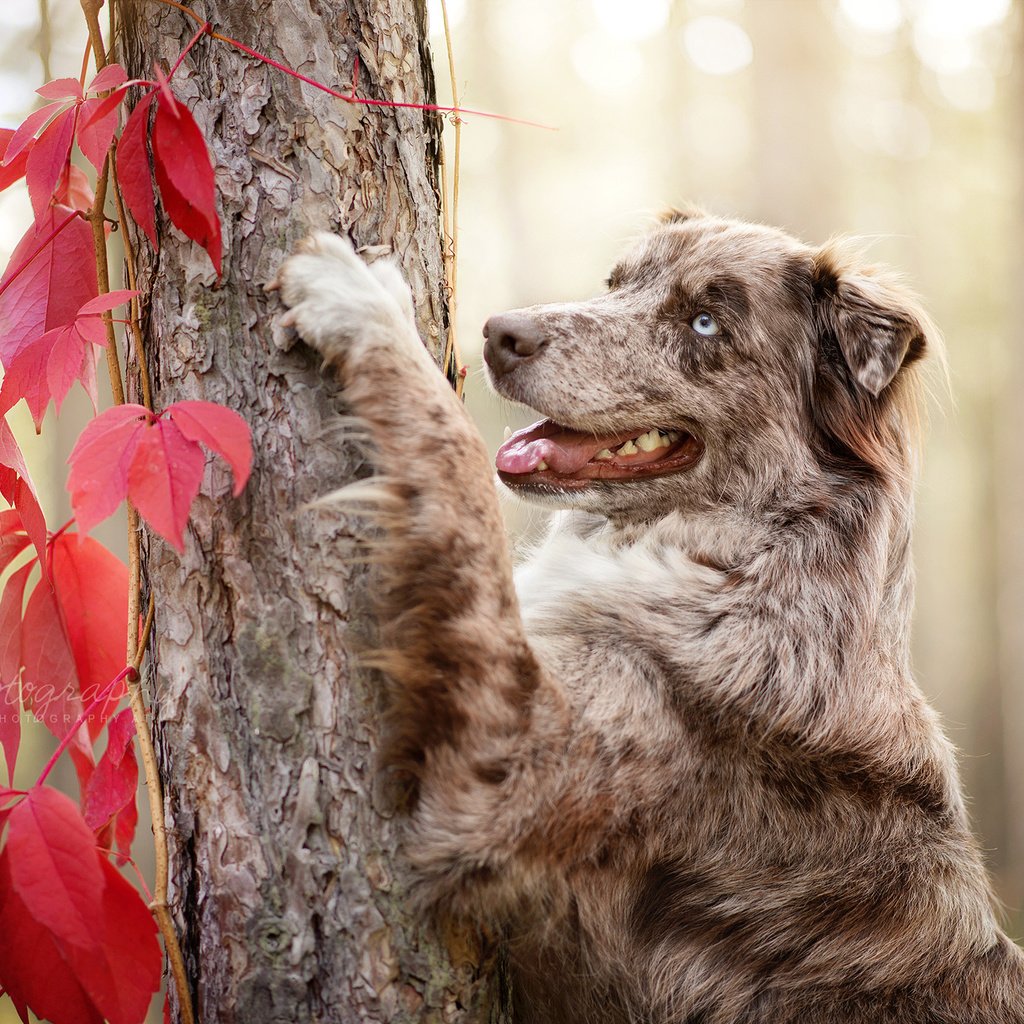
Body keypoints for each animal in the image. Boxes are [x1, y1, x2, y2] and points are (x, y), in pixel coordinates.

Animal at [272, 209, 1024, 1024]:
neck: (738, 563)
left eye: (703, 323)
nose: (501, 333)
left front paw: (363, 303)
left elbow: (461, 465)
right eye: (616, 283)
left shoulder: (507, 761)